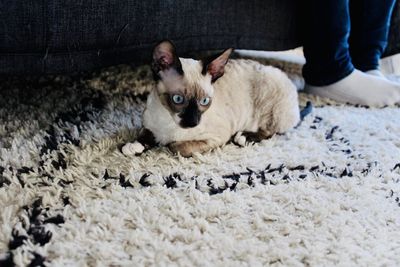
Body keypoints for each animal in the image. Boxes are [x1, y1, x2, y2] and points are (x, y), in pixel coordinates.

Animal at [122, 39, 304, 157]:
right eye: (178, 99)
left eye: (204, 101)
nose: (193, 122)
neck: (168, 122)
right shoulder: (149, 125)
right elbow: (145, 135)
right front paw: (133, 146)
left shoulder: (217, 137)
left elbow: (176, 147)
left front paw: (165, 144)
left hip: (268, 103)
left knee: (270, 130)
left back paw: (243, 137)